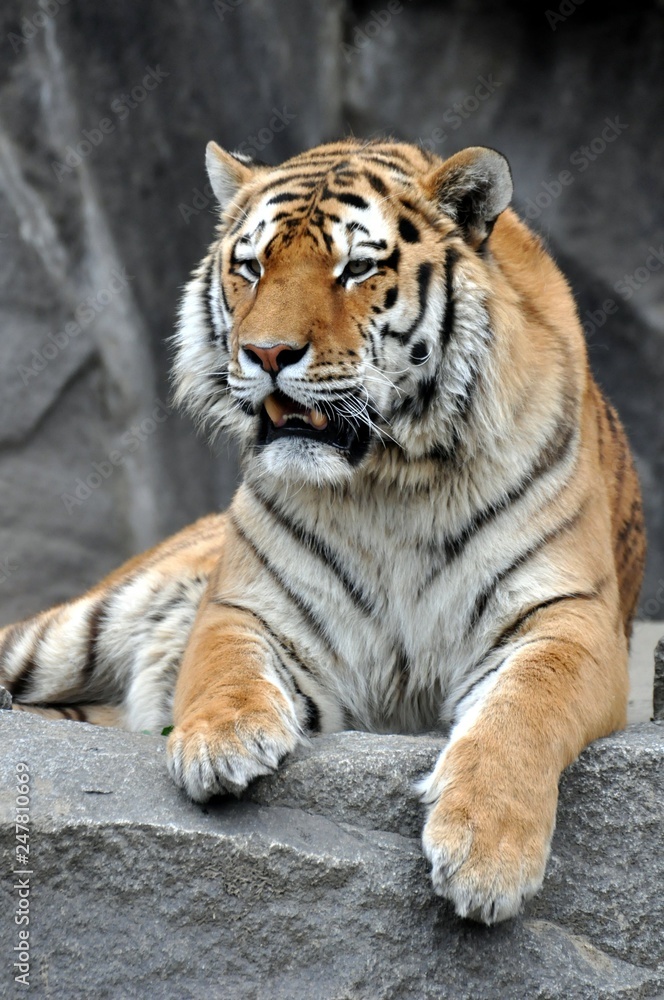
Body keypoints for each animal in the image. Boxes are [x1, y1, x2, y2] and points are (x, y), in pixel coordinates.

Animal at [0, 138, 645, 925]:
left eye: (357, 269)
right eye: (251, 267)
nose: (267, 354)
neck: (390, 483)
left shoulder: (572, 619)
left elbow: (525, 711)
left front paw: (487, 852)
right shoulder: (247, 604)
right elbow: (223, 665)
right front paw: (218, 741)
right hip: (72, 631)